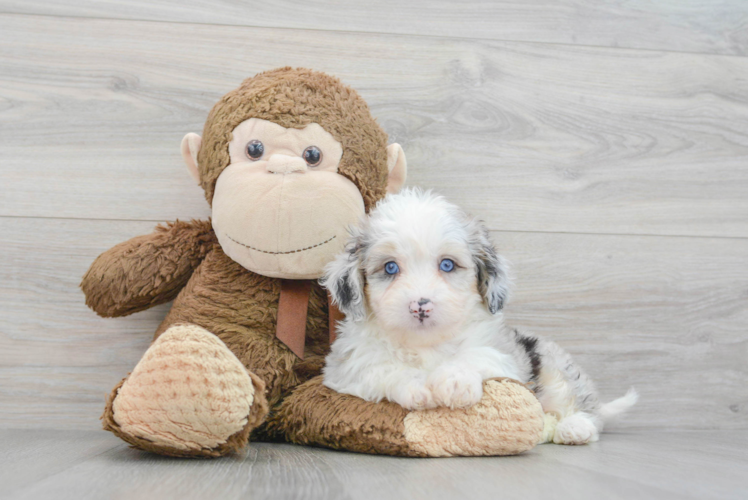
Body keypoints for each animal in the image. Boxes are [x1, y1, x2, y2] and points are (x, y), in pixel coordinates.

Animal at [322, 188, 636, 446]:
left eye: (447, 265)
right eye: (390, 268)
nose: (420, 306)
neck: (426, 344)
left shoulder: (504, 354)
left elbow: (475, 354)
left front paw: (455, 382)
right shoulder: (347, 367)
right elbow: (382, 369)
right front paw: (418, 387)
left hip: (553, 367)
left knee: (583, 407)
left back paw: (575, 428)